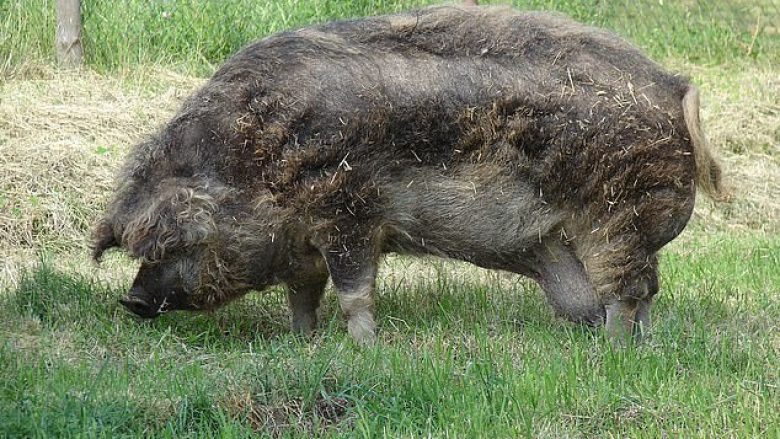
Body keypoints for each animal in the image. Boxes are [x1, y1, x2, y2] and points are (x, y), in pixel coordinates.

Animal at [91, 5, 724, 346]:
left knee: (626, 292)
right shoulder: (303, 246)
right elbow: (304, 294)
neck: (256, 162)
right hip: (592, 240)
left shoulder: (350, 215)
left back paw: (614, 350)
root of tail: (675, 88)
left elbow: (354, 291)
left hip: (618, 218)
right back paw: (637, 344)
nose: (132, 299)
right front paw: (303, 341)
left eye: (177, 243)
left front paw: (364, 349)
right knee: (638, 293)